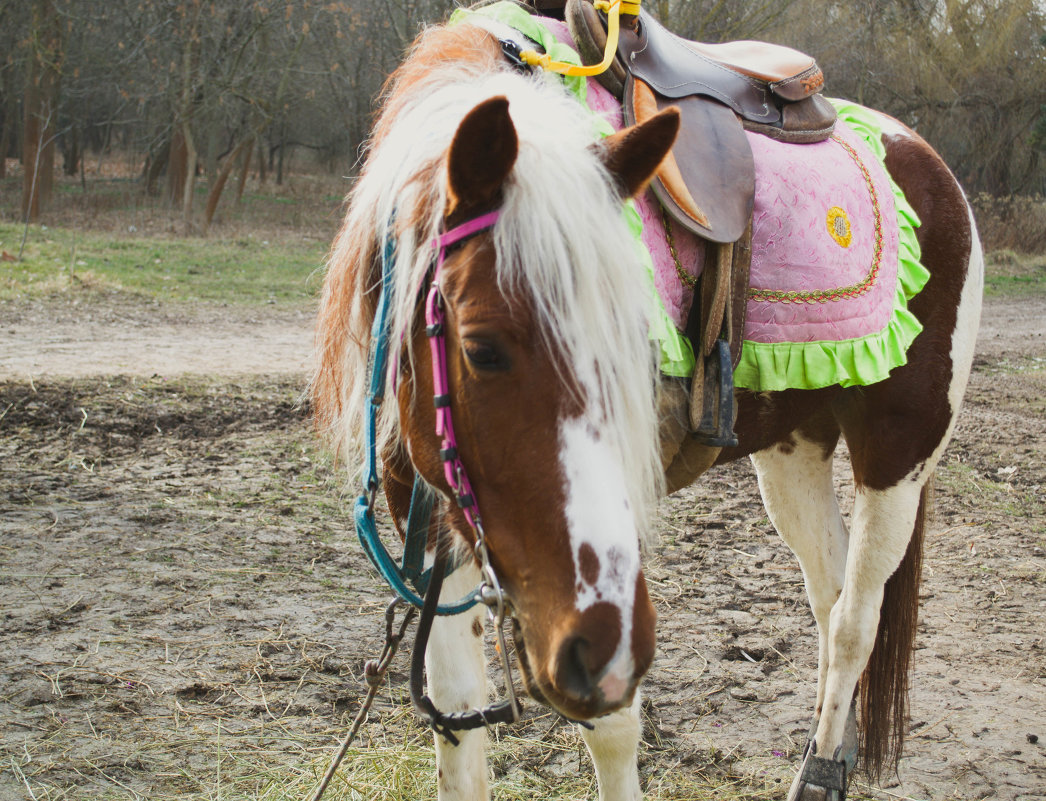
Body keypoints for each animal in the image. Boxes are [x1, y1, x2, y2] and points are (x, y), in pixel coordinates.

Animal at [309, 7, 979, 801]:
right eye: (480, 347)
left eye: (638, 339)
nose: (594, 646)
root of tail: (927, 160)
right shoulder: (437, 514)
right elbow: (457, 722)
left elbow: (612, 725)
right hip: (796, 449)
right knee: (829, 590)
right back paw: (834, 752)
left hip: (899, 453)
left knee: (855, 618)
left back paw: (818, 768)